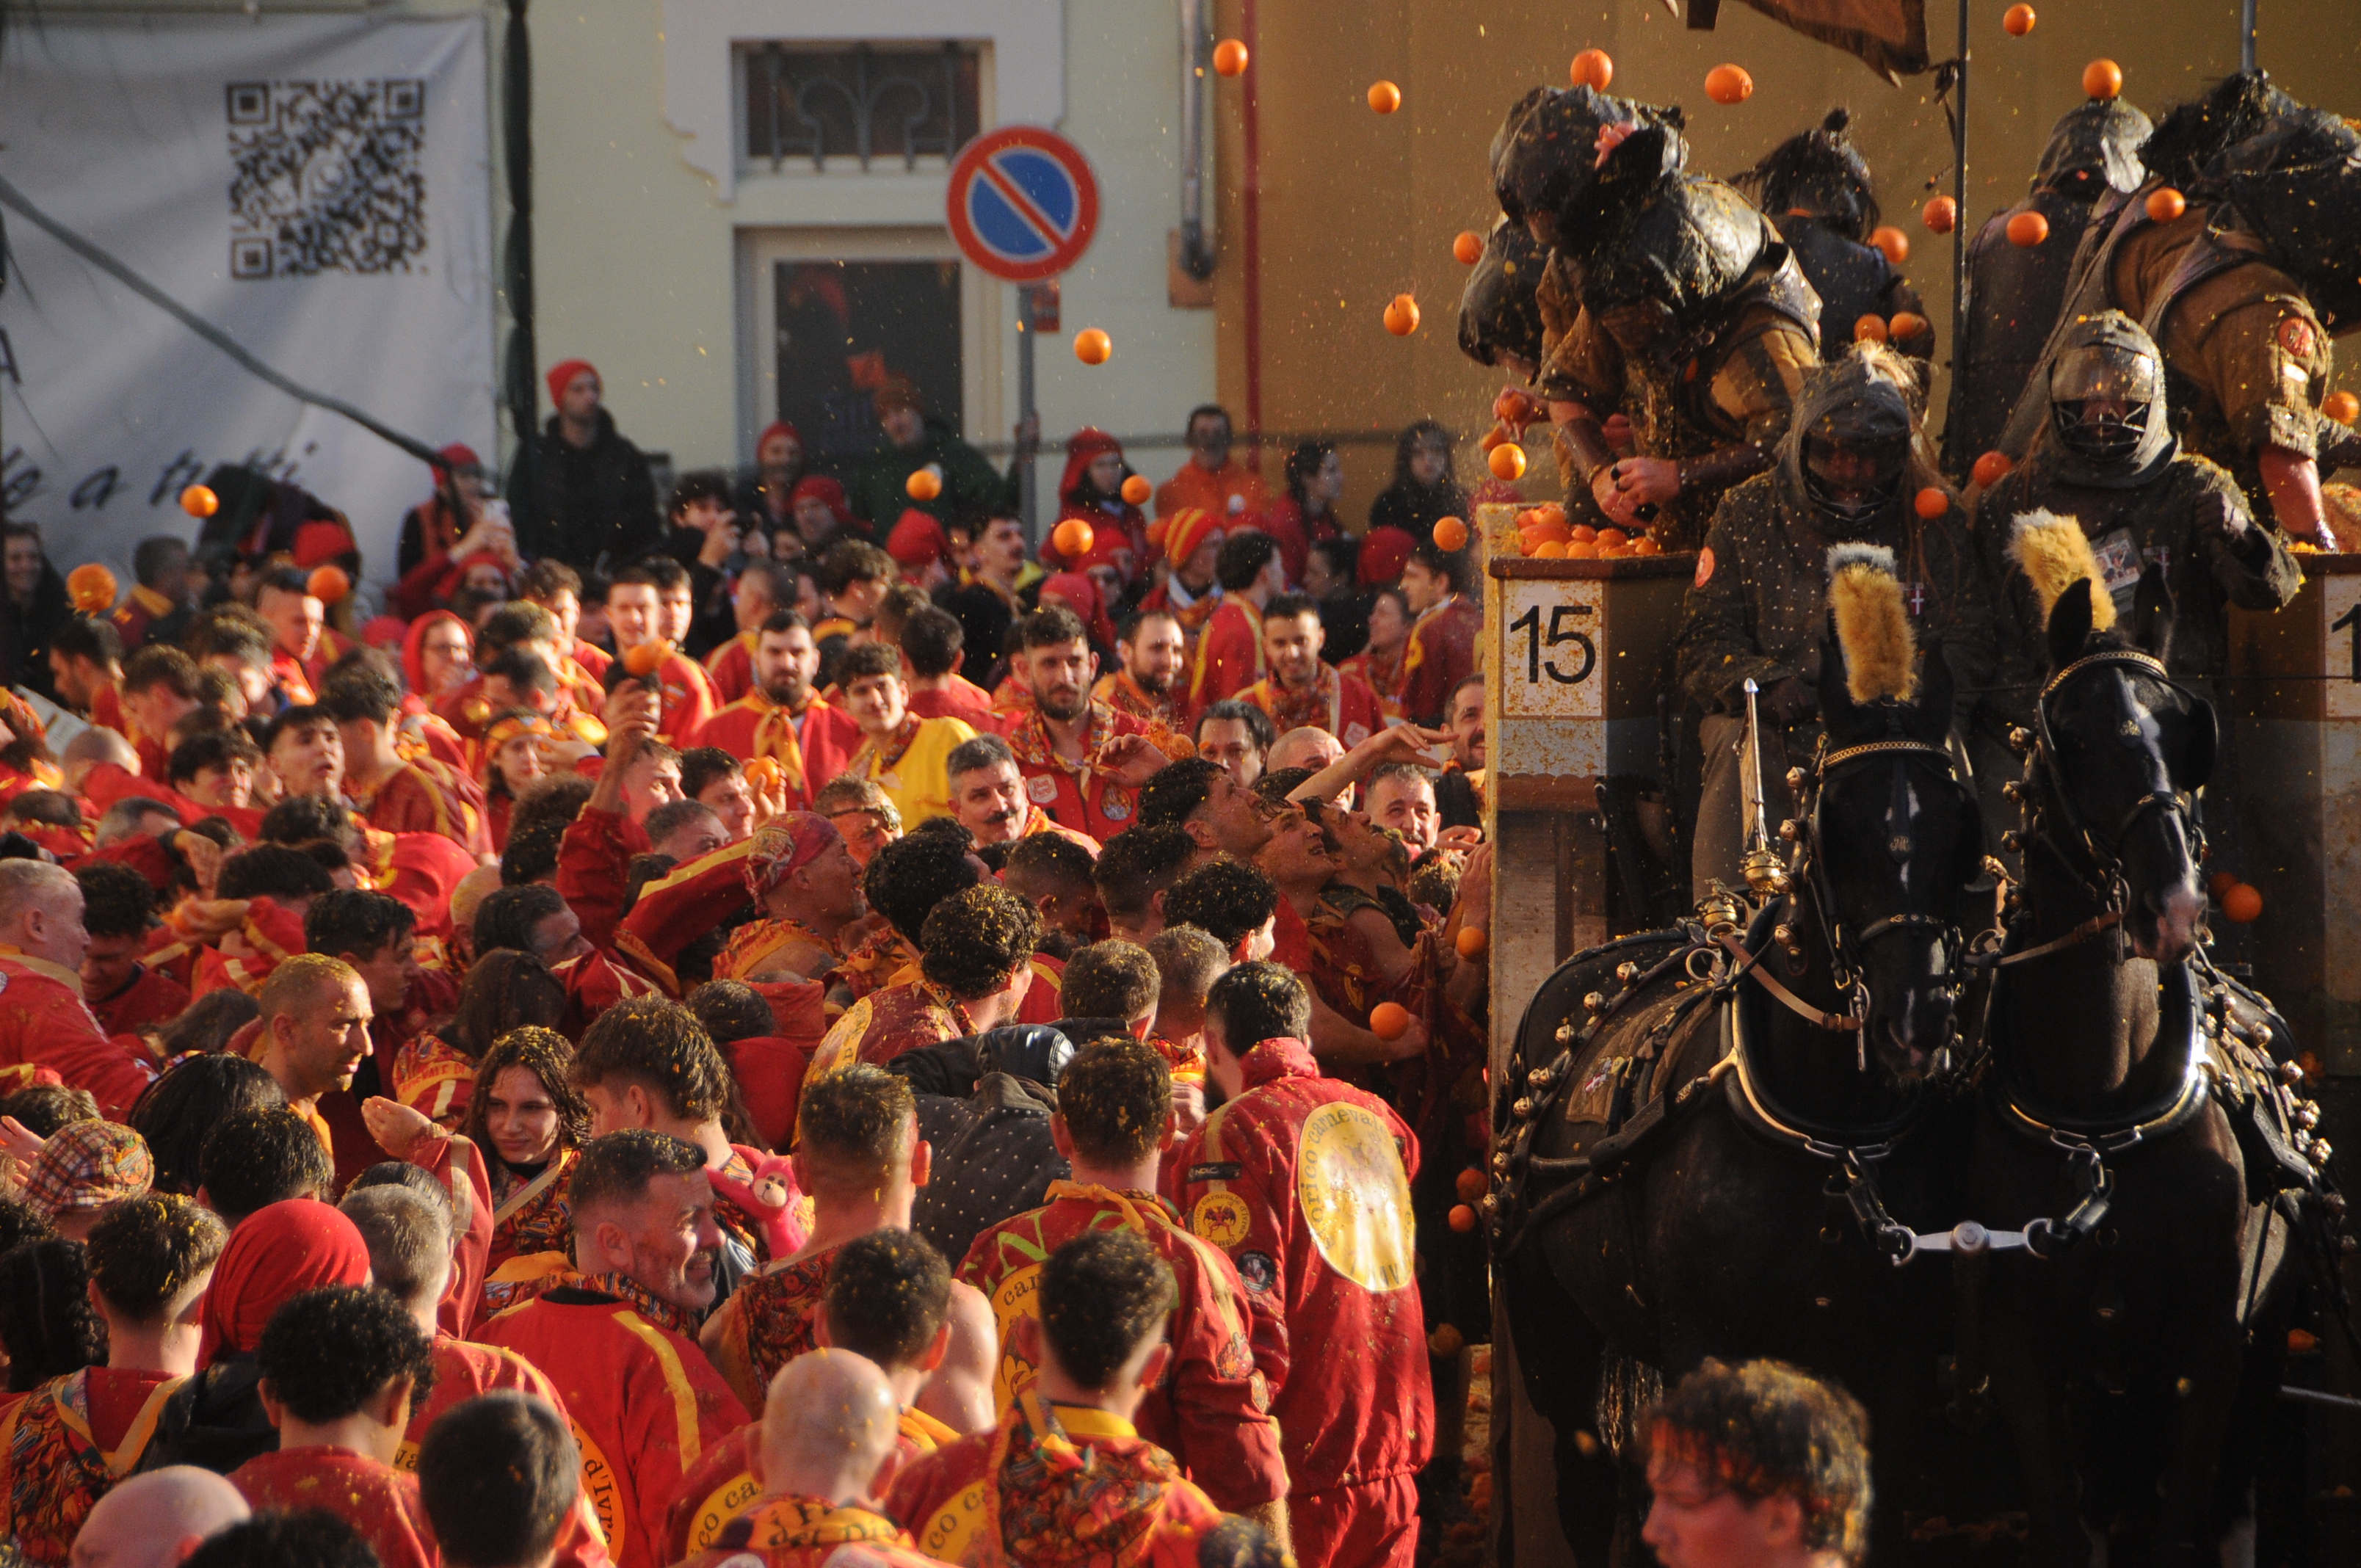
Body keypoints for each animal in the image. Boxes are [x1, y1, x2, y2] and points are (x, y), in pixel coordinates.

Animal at [1491, 625, 1985, 1565]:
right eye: (1837, 824)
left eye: (1958, 824)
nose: (1916, 1012)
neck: (1829, 1136)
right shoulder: (1702, 1342)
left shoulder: (1896, 1356)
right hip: (1548, 1326)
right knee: (1585, 1477)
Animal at [1961, 572, 2332, 1568]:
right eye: (2072, 734)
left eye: (2182, 732)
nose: (2173, 906)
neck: (2103, 1113)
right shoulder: (2022, 1350)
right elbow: (2062, 1523)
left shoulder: (2212, 1346)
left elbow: (2181, 1524)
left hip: (2262, 1349)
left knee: (2231, 1498)